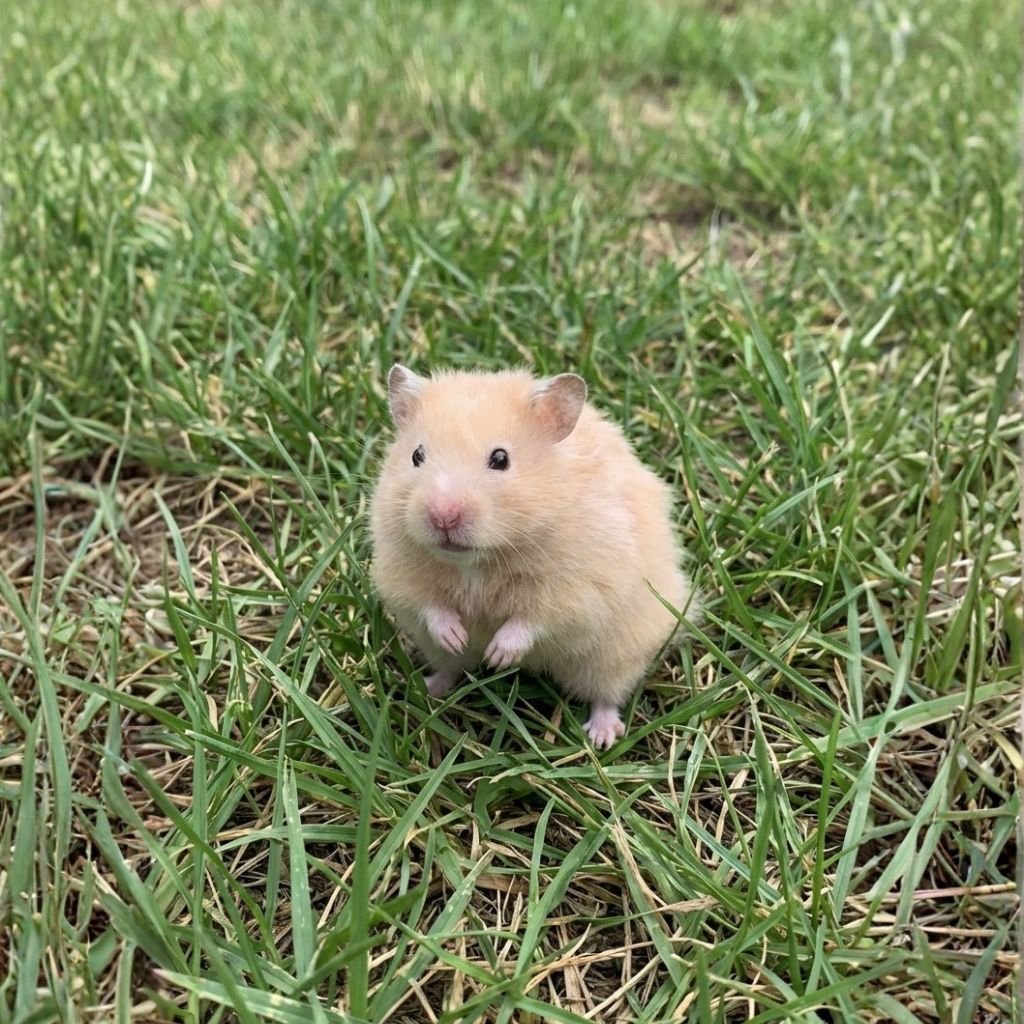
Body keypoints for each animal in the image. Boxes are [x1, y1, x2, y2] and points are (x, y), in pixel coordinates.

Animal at [369, 364, 695, 749]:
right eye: (417, 456)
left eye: (501, 459)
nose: (443, 516)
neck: (477, 560)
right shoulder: (400, 571)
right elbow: (431, 606)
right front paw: (458, 635)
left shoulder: (577, 589)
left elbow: (532, 619)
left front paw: (499, 656)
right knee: (450, 665)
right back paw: (427, 688)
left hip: (615, 653)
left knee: (607, 694)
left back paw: (600, 737)